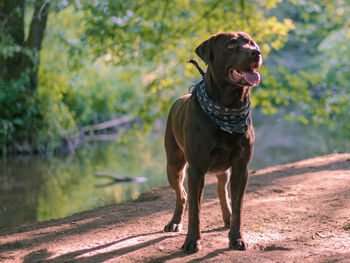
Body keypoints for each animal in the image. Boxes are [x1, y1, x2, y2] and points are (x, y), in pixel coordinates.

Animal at [165, 32, 262, 255]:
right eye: (231, 45)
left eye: (251, 43)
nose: (256, 52)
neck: (229, 105)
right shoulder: (196, 169)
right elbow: (195, 209)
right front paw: (192, 241)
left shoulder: (241, 167)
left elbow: (238, 206)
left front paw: (237, 238)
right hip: (174, 165)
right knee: (181, 194)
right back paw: (174, 222)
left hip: (222, 168)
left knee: (221, 189)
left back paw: (227, 217)